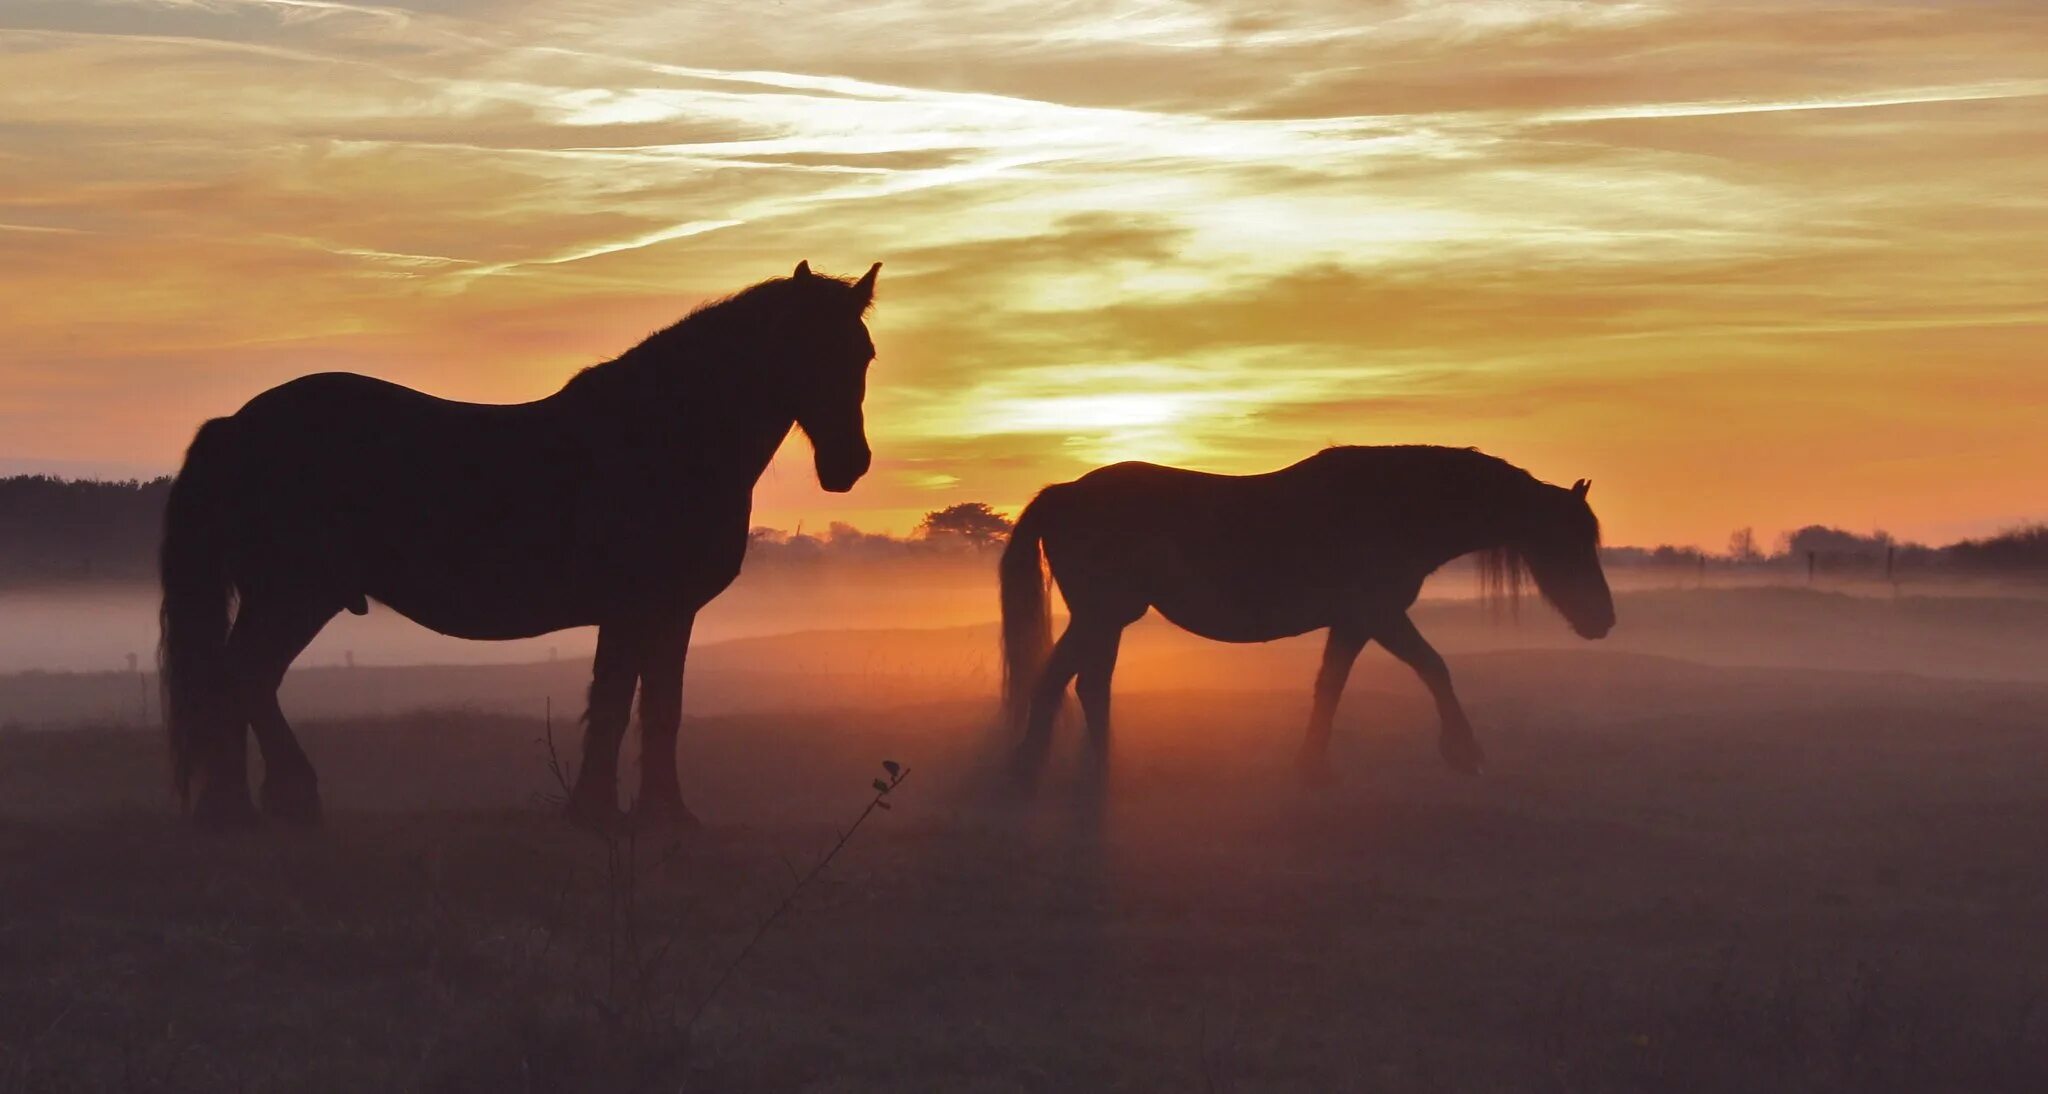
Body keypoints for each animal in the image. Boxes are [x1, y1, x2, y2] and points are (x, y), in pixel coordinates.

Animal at [159, 264, 880, 831]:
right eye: (806, 347)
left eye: (864, 354)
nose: (849, 465)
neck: (662, 436)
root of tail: (237, 425)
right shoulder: (633, 609)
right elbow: (615, 706)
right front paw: (601, 813)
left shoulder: (668, 613)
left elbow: (658, 710)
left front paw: (661, 815)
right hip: (294, 594)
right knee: (244, 676)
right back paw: (270, 803)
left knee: (241, 681)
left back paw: (240, 808)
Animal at [995, 448, 1613, 790]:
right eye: (1571, 542)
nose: (1603, 620)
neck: (1395, 506)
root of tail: (1064, 492)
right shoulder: (1379, 613)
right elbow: (1434, 667)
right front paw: (1465, 754)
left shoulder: (1355, 622)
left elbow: (1329, 685)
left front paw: (1313, 766)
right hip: (1101, 614)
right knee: (1059, 681)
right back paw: (1027, 771)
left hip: (1107, 618)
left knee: (1087, 684)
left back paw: (1097, 766)